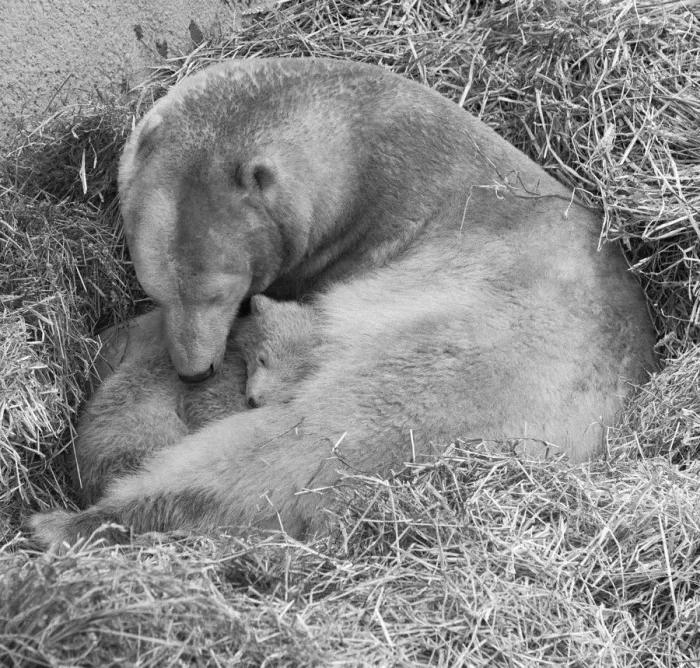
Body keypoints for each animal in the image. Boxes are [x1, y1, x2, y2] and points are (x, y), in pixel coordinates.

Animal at [30, 57, 656, 547]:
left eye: (222, 292)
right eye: (154, 283)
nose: (193, 371)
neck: (361, 149)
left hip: (457, 353)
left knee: (292, 448)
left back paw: (70, 523)